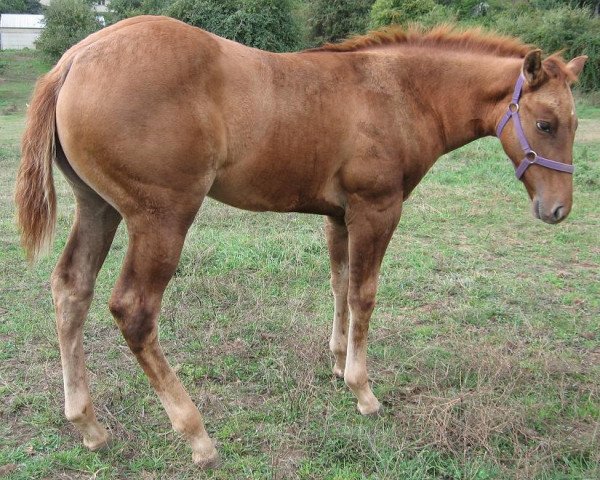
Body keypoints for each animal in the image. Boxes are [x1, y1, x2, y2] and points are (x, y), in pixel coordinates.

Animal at [14, 16, 584, 466]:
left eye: (575, 125)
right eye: (544, 123)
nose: (557, 210)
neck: (398, 92)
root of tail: (73, 60)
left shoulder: (340, 215)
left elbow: (339, 285)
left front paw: (336, 362)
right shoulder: (378, 208)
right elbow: (364, 294)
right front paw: (363, 390)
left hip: (99, 206)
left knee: (70, 288)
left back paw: (89, 426)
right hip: (162, 218)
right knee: (133, 310)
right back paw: (197, 435)